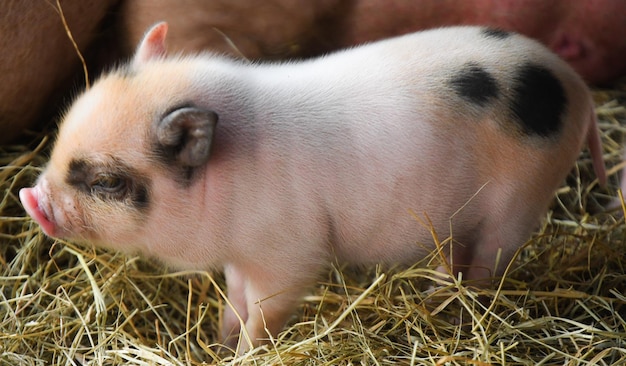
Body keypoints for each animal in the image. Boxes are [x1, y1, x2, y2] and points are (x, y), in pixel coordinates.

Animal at [20, 23, 604, 352]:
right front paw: (218, 340)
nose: (29, 199)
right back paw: (435, 300)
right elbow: (234, 299)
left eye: (107, 182)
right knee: (453, 260)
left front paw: (244, 351)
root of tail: (575, 85)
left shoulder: (289, 255)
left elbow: (266, 311)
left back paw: (458, 310)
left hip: (519, 204)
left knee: (486, 267)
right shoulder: (242, 256)